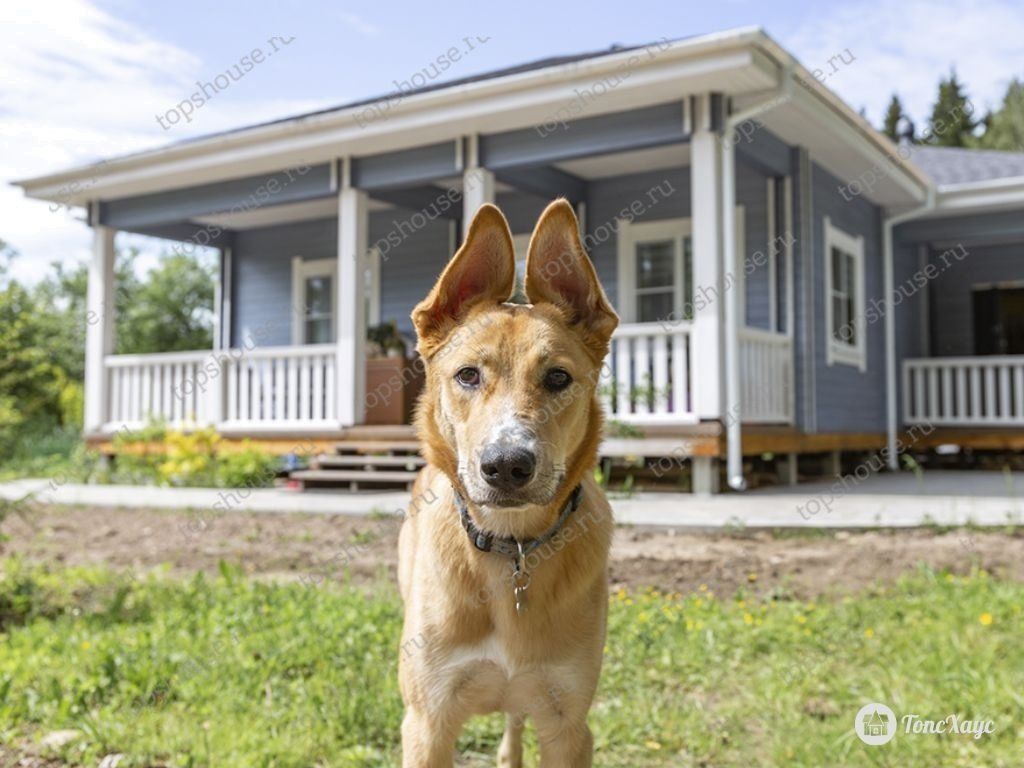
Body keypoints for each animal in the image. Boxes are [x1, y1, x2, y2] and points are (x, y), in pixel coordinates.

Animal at [397, 201, 622, 765]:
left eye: (558, 378)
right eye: (467, 375)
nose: (505, 465)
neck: (511, 548)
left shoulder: (569, 725)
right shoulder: (426, 724)